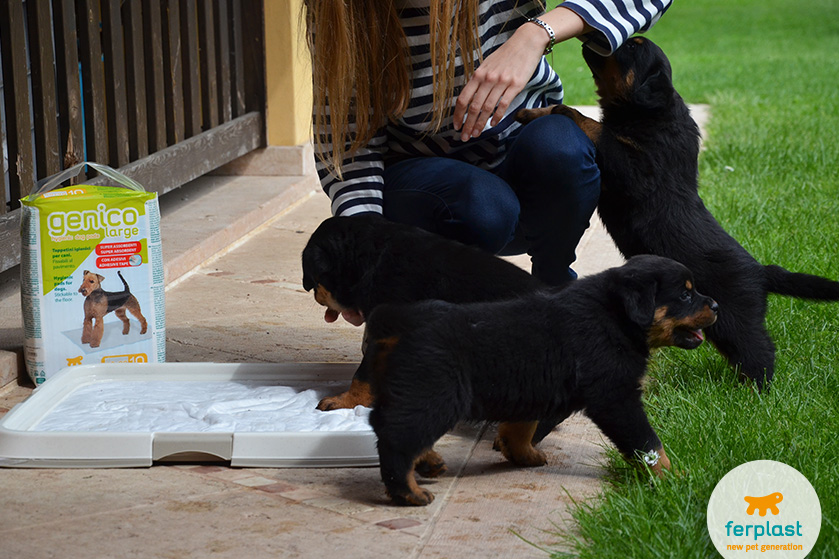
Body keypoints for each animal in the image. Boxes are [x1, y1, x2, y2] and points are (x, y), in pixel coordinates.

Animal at [364, 258, 720, 508]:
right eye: (685, 294)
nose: (716, 305)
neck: (617, 318)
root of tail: (399, 323)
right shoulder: (615, 396)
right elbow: (649, 443)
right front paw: (674, 478)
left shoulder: (532, 387)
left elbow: (521, 428)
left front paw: (522, 455)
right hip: (437, 393)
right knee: (396, 437)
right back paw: (408, 492)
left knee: (391, 425)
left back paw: (428, 462)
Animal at [520, 37, 839, 392]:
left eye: (632, 47)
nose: (591, 36)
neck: (646, 113)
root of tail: (760, 271)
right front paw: (530, 111)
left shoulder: (635, 168)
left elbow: (593, 125)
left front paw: (559, 111)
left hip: (734, 319)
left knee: (758, 351)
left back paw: (756, 392)